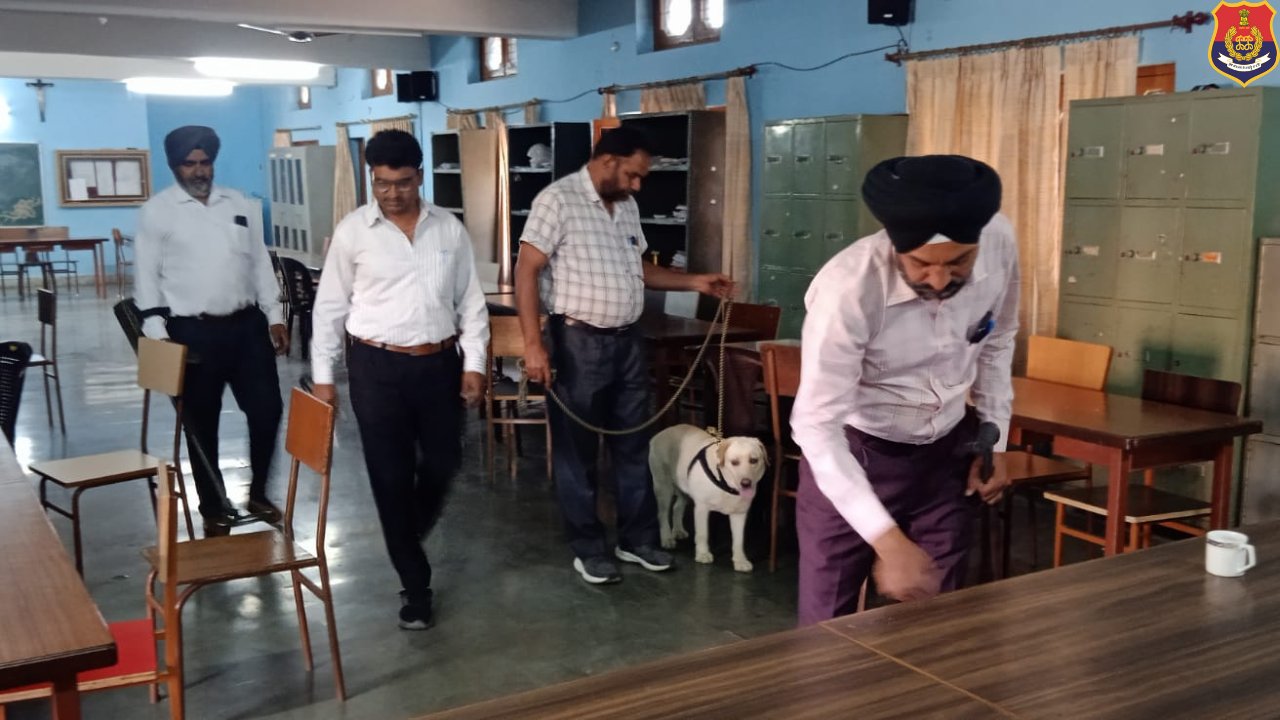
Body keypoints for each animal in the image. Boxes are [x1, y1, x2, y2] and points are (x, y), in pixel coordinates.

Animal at [649, 424, 768, 572]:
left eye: (754, 460)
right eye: (734, 462)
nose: (746, 483)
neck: (724, 481)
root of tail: (660, 433)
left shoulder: (739, 514)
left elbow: (739, 540)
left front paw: (740, 560)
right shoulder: (701, 508)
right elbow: (702, 534)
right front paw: (703, 554)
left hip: (684, 487)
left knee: (677, 507)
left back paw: (678, 530)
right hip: (664, 487)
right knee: (663, 514)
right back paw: (666, 538)